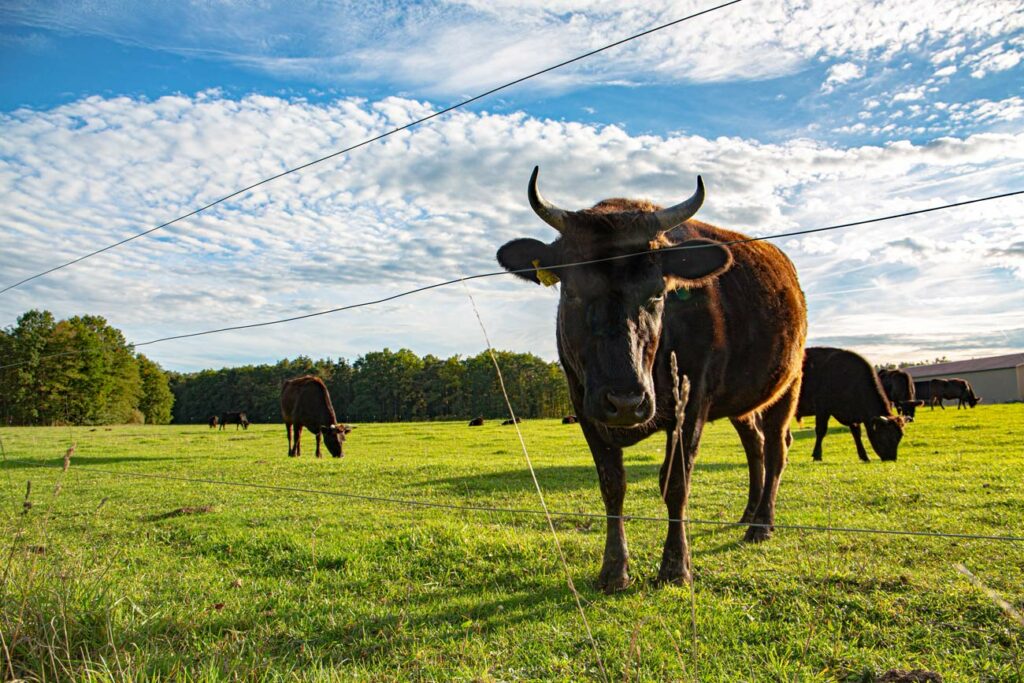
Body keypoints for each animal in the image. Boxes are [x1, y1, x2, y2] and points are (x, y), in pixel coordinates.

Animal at [497, 165, 806, 589]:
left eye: (658, 293)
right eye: (572, 291)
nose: (626, 402)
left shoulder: (691, 403)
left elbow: (675, 483)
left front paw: (676, 566)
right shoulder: (584, 405)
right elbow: (613, 484)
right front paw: (614, 569)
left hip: (787, 385)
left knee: (777, 447)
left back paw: (761, 524)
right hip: (741, 404)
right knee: (754, 445)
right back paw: (747, 513)